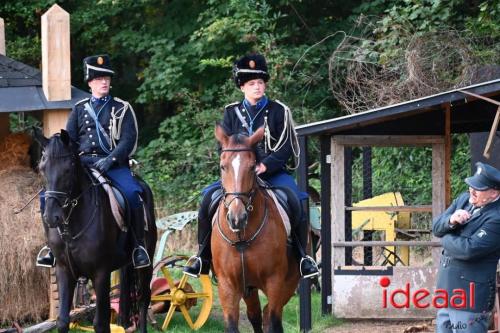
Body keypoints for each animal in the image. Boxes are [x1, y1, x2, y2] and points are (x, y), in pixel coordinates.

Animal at [212, 125, 300, 332]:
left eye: (252, 167)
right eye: (222, 166)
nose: (237, 218)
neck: (242, 238)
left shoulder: (275, 281)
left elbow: (274, 319)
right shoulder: (227, 285)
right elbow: (233, 324)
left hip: (289, 283)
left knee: (270, 315)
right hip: (249, 289)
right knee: (256, 315)